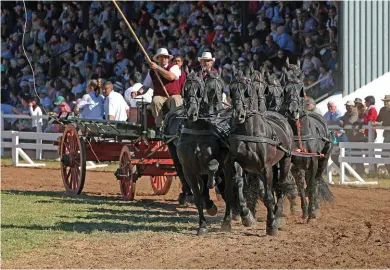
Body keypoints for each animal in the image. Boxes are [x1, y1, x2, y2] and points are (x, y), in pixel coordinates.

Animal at [222, 70, 292, 236]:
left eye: (247, 92)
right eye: (231, 91)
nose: (238, 115)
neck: (250, 131)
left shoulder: (266, 167)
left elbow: (268, 197)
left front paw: (271, 225)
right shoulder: (233, 163)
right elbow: (233, 189)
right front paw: (238, 219)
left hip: (285, 160)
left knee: (280, 186)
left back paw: (277, 217)